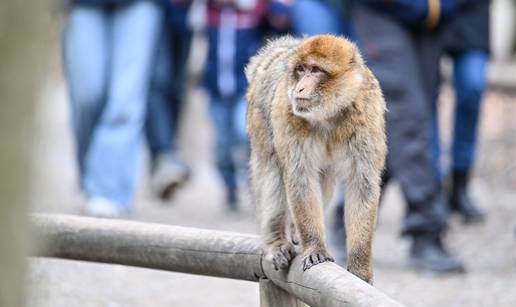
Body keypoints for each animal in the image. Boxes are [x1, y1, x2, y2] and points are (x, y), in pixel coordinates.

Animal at [244, 34, 384, 284]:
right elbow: (300, 177)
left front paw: (360, 268)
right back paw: (276, 241)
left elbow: (362, 183)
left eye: (316, 70)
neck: (328, 113)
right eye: (301, 70)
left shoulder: (367, 114)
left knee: (324, 179)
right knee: (272, 170)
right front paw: (315, 247)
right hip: (260, 120)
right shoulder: (287, 114)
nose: (300, 87)